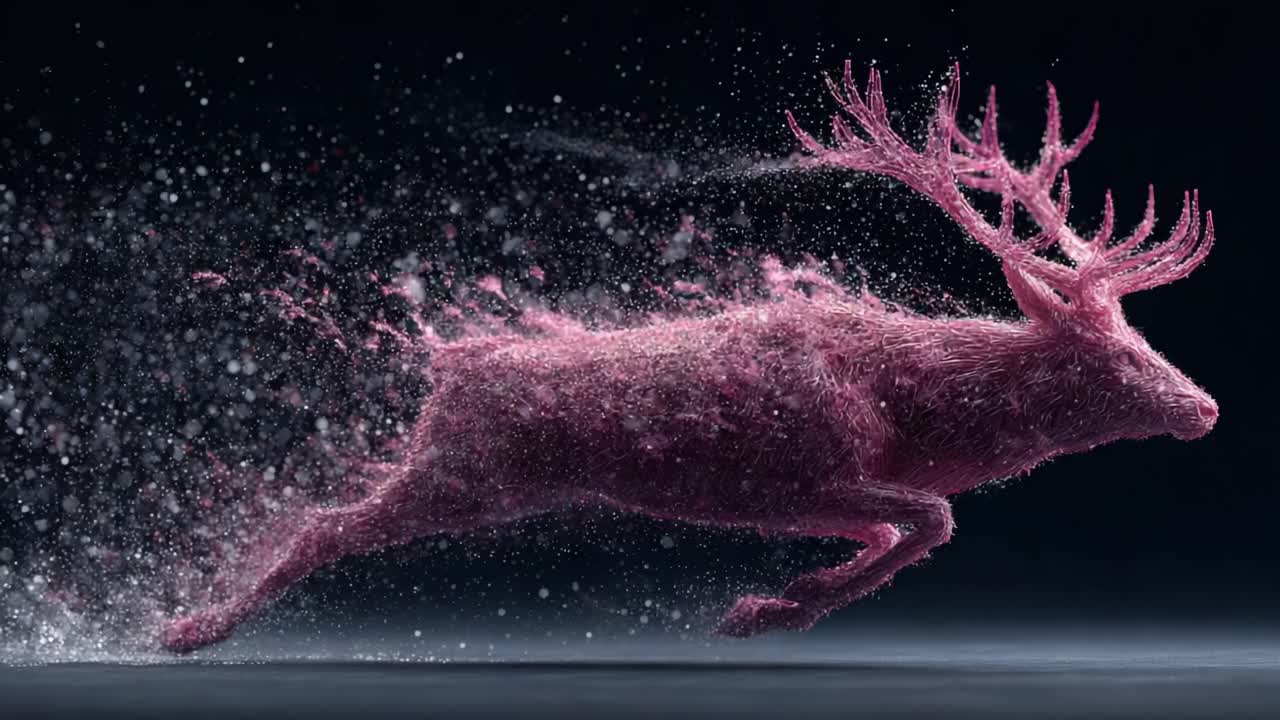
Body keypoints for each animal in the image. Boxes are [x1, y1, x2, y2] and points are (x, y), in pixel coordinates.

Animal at [160, 61, 1217, 652]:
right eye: (1119, 361)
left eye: (1145, 341)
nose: (1204, 406)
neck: (917, 411)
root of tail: (447, 372)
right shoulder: (799, 471)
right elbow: (934, 518)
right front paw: (773, 607)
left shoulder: (806, 493)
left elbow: (901, 527)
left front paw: (783, 600)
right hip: (466, 474)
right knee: (320, 524)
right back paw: (186, 628)